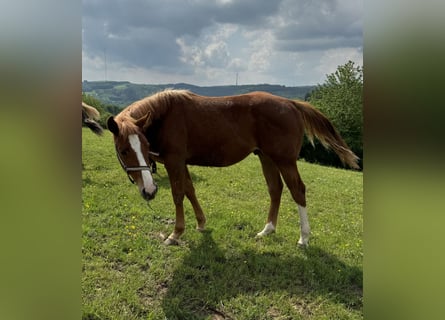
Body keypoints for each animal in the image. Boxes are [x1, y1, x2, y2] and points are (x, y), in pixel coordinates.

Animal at [106, 89, 358, 245]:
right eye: (124, 150)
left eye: (145, 146)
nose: (149, 191)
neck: (165, 115)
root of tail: (291, 104)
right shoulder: (182, 162)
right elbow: (190, 190)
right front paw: (201, 223)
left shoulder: (174, 161)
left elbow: (178, 194)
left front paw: (176, 233)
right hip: (266, 158)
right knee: (275, 189)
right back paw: (268, 229)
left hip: (285, 161)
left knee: (298, 190)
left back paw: (304, 237)